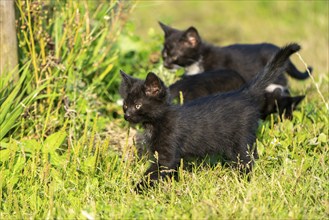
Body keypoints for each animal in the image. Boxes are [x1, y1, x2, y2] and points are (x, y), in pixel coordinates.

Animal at [118, 43, 300, 191]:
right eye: (125, 105)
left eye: (138, 106)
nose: (127, 115)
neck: (155, 124)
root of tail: (243, 93)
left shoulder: (166, 155)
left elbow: (153, 172)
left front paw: (136, 189)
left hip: (240, 138)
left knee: (248, 159)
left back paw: (244, 180)